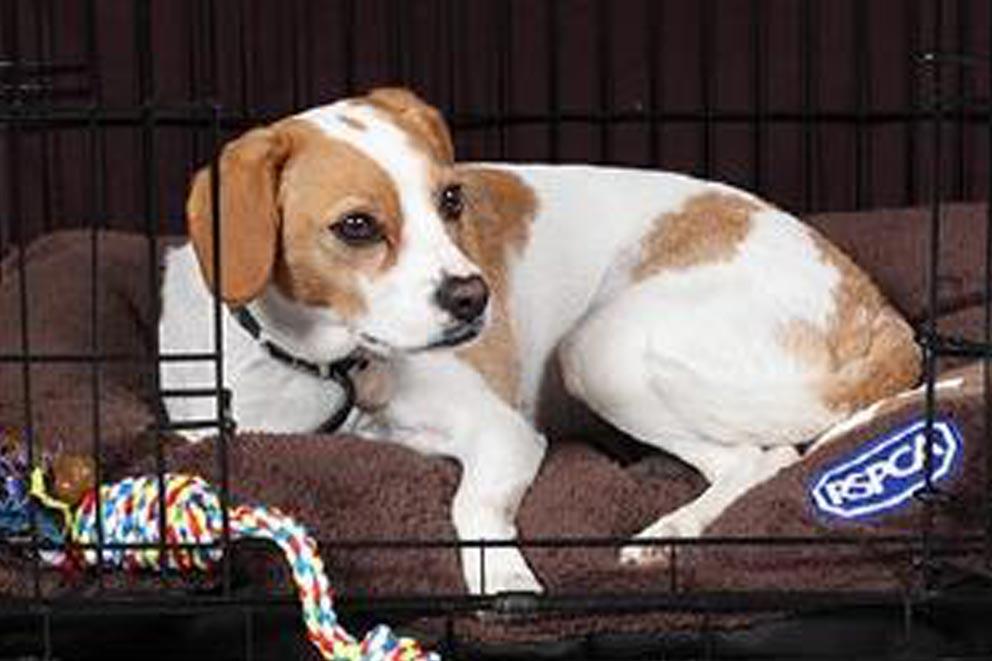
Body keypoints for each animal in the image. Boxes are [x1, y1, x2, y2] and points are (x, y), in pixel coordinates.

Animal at [159, 86, 928, 592]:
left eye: (450, 200)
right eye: (356, 227)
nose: (475, 297)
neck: (325, 367)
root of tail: (876, 308)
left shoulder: (503, 434)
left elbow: (470, 504)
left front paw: (502, 575)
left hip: (601, 351)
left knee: (758, 460)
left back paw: (669, 535)